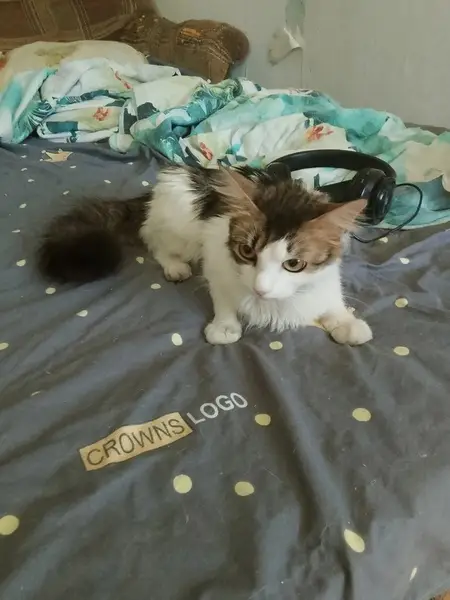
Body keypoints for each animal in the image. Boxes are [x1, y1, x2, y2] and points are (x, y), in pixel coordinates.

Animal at [37, 163, 372, 345]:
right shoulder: (215, 254)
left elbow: (331, 296)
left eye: (293, 264)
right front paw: (225, 325)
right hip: (180, 226)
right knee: (152, 239)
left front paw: (346, 321)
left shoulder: (326, 275)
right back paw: (174, 265)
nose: (261, 289)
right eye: (247, 251)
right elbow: (223, 294)